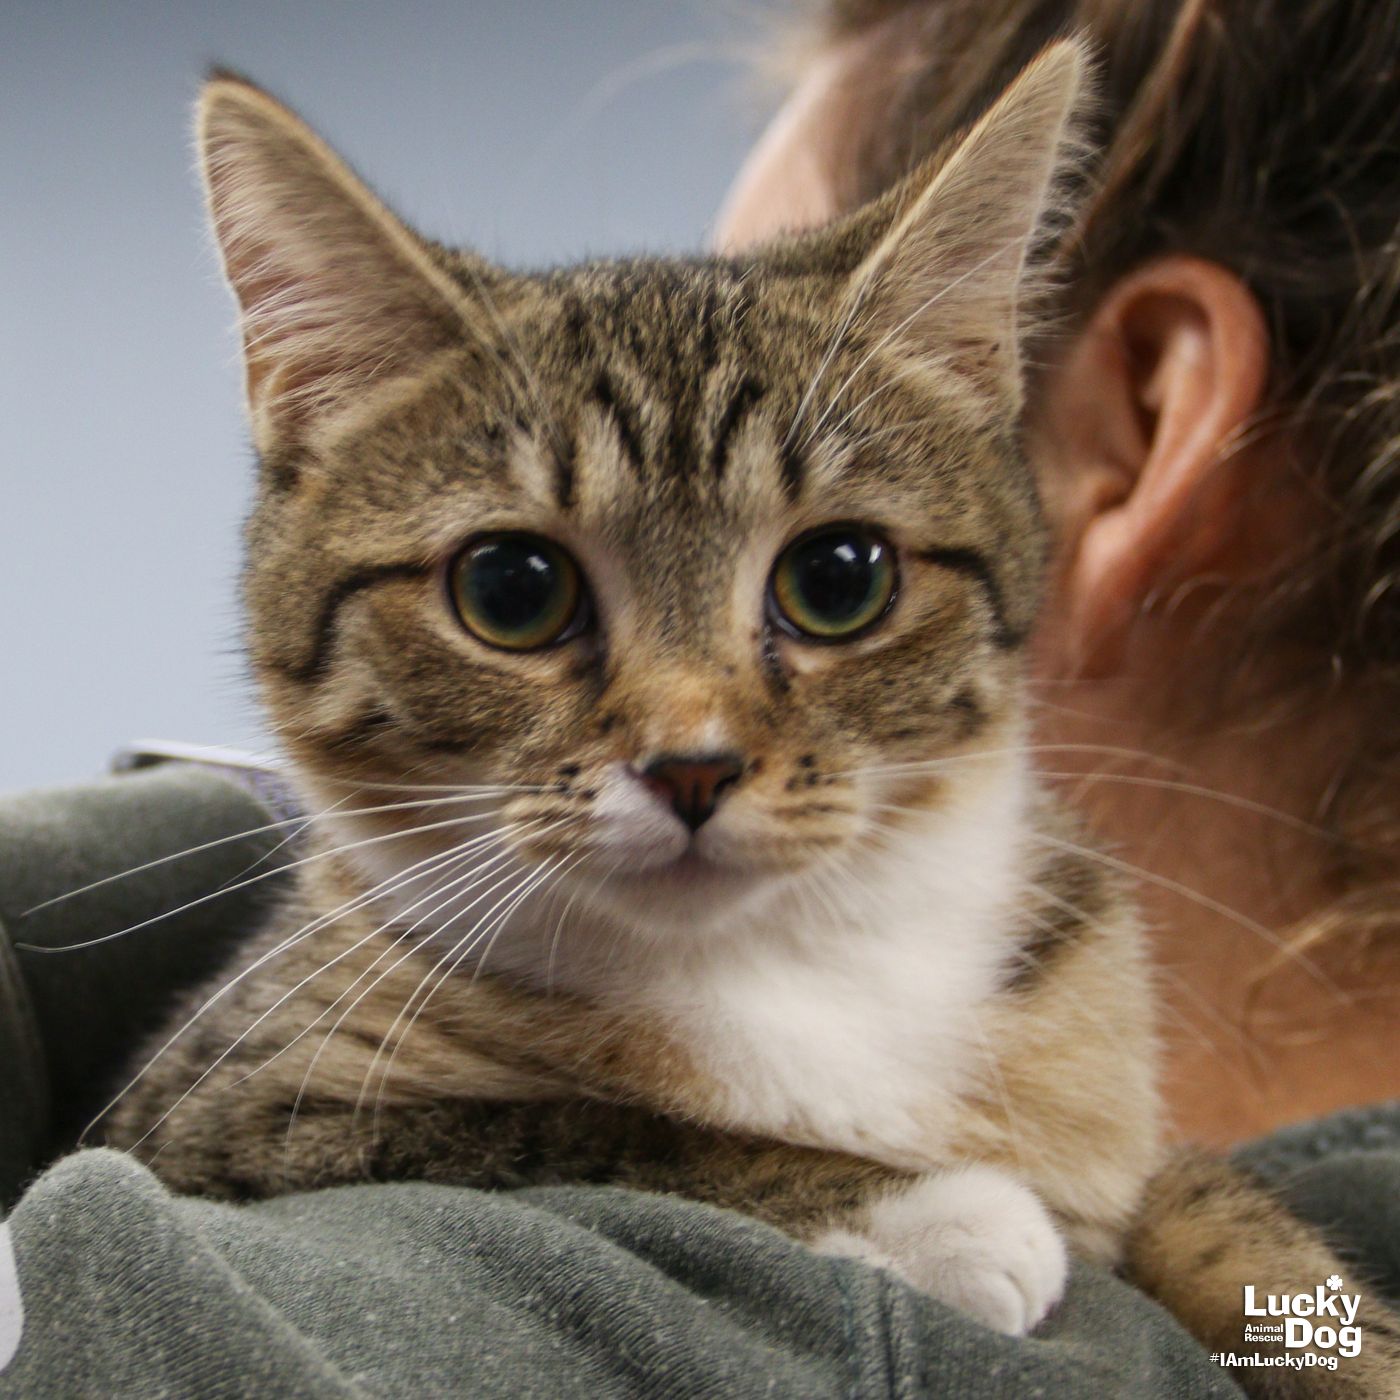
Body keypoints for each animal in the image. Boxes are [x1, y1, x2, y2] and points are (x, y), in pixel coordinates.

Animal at [103, 35, 1400, 1388]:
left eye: (838, 577)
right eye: (509, 587)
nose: (691, 765)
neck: (786, 959)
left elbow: (1210, 1206)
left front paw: (1330, 1323)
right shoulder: (228, 1115)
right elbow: (580, 1126)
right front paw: (931, 1206)